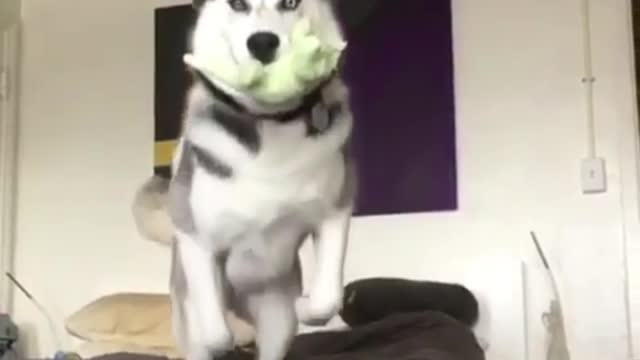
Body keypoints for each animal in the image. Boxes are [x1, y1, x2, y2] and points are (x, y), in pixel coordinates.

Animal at [133, 0, 356, 360]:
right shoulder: (194, 235)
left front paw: (309, 307)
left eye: (290, 3)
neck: (269, 123)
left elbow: (326, 300)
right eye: (237, 4)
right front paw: (224, 337)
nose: (262, 42)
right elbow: (215, 334)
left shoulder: (335, 212)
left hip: (276, 315)